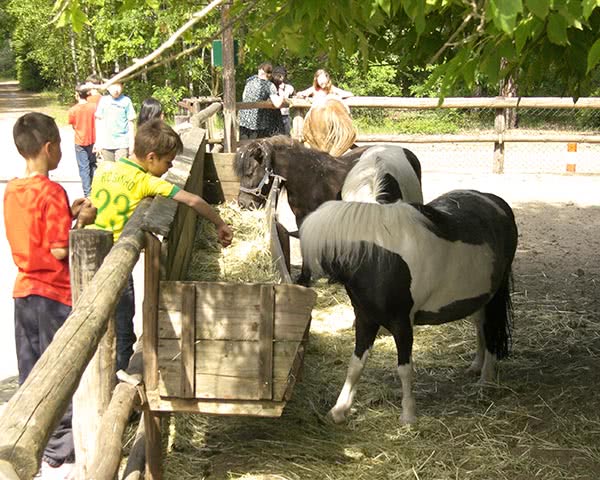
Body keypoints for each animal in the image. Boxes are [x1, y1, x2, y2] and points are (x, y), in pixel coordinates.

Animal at [298, 189, 516, 422]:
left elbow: (404, 369)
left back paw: (486, 380)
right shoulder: (366, 320)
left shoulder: (402, 324)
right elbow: (355, 365)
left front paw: (408, 415)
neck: (376, 260)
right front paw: (339, 410)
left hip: (494, 297)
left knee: (491, 330)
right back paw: (476, 365)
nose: (301, 281)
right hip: (480, 299)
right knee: (480, 325)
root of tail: (496, 202)